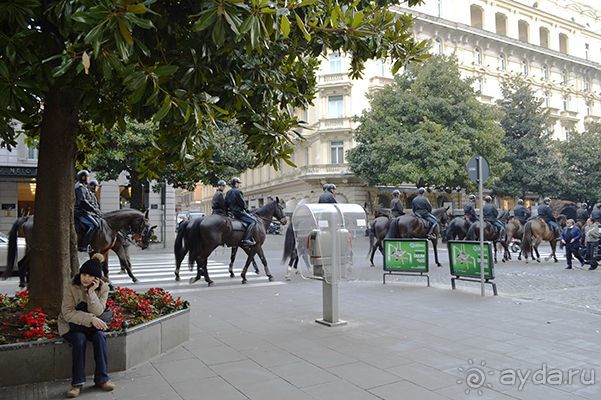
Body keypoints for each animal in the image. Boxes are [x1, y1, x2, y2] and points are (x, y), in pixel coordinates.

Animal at [2, 209, 156, 288]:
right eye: (145, 226)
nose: (144, 245)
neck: (110, 225)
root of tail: (27, 217)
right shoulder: (97, 250)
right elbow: (102, 267)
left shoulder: (106, 251)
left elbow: (110, 267)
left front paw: (126, 279)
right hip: (36, 248)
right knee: (23, 263)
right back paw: (24, 283)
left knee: (23, 263)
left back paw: (24, 283)